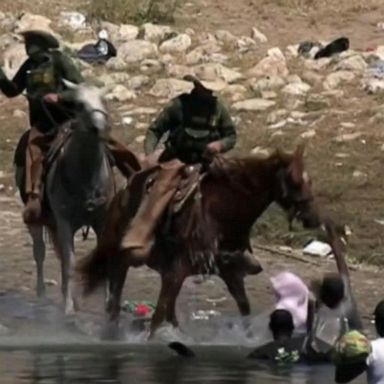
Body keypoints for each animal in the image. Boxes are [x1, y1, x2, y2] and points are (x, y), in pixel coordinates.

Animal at [14, 82, 118, 314]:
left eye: (103, 100)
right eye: (79, 104)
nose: (100, 127)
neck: (86, 176)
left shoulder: (102, 220)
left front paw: (108, 305)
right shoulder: (64, 222)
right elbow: (68, 264)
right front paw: (68, 309)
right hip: (37, 220)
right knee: (40, 253)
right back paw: (42, 294)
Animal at [78, 144, 320, 336]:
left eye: (309, 180)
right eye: (294, 181)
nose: (313, 217)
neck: (221, 214)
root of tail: (120, 195)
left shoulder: (229, 273)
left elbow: (245, 311)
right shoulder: (177, 271)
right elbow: (157, 319)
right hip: (118, 261)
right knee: (115, 305)